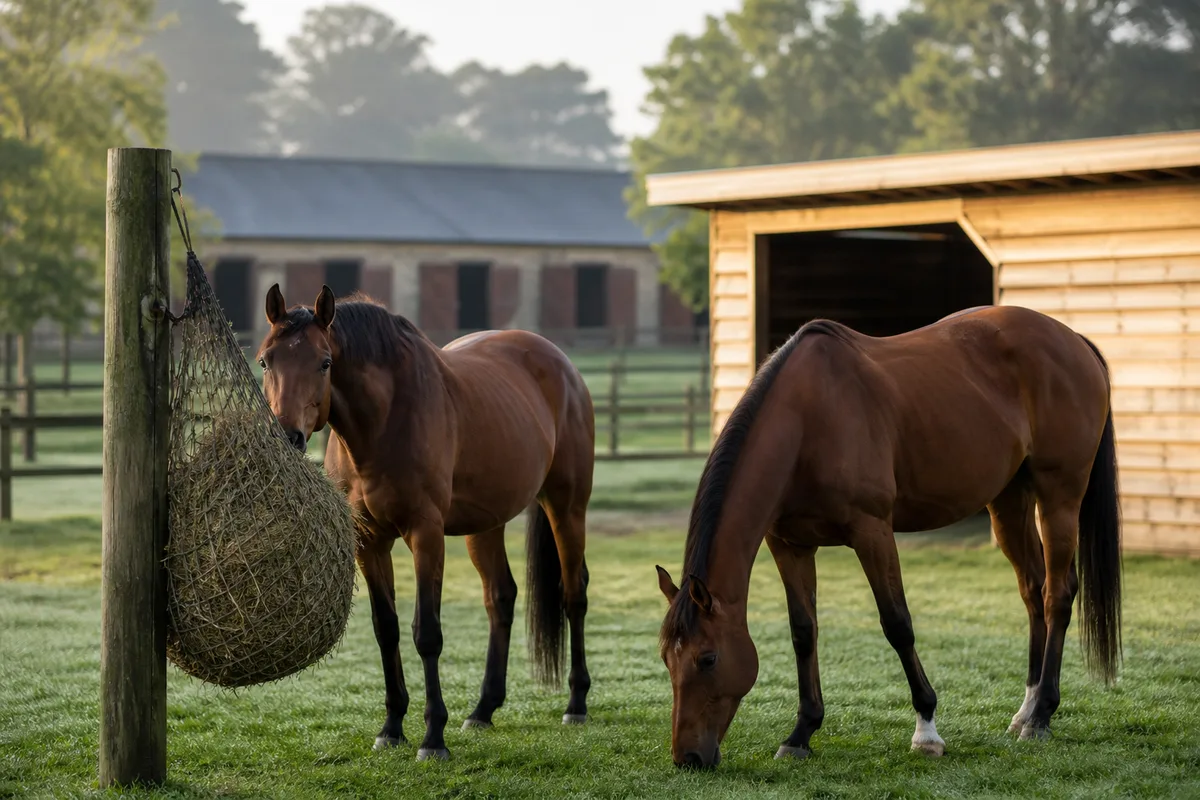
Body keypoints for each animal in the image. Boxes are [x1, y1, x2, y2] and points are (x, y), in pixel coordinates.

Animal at [256, 283, 595, 761]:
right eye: (265, 360)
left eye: (324, 362)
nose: (287, 437)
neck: (385, 420)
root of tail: (561, 363)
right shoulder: (369, 542)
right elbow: (386, 629)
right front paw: (392, 727)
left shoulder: (426, 535)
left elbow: (427, 633)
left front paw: (433, 736)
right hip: (485, 524)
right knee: (500, 597)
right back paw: (483, 709)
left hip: (566, 506)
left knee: (573, 594)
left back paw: (576, 703)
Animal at [655, 304, 1122, 769]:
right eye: (665, 659)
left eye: (708, 658)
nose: (688, 757)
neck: (806, 422)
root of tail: (1076, 341)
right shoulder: (790, 545)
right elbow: (803, 631)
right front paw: (801, 732)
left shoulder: (872, 532)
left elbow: (897, 623)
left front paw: (927, 730)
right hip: (1008, 501)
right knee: (1032, 590)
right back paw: (1025, 709)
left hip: (1060, 496)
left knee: (1057, 595)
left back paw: (1040, 716)